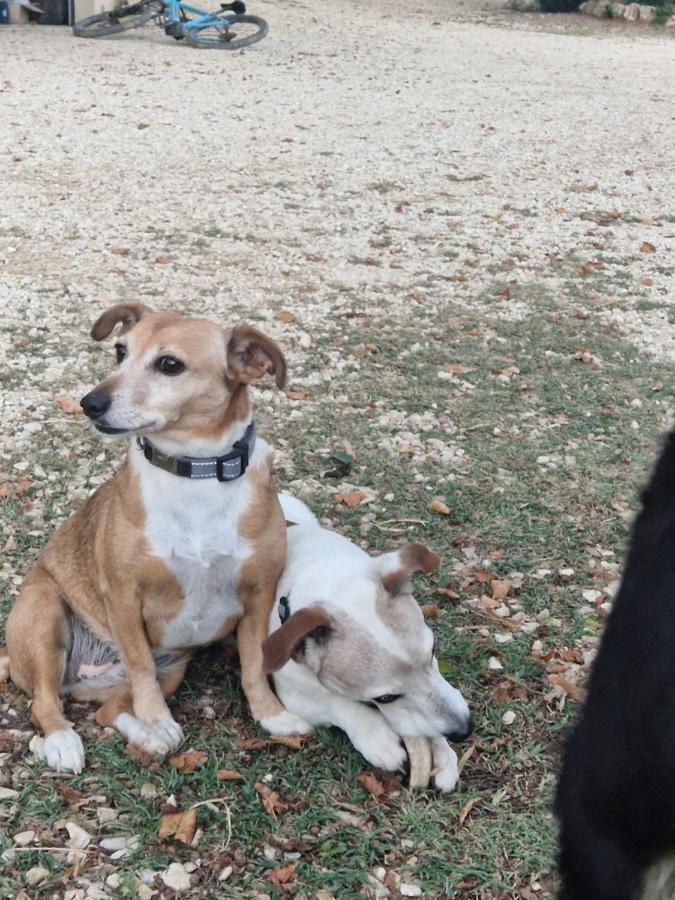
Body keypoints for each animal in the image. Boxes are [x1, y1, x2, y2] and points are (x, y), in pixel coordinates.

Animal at [0, 306, 308, 768]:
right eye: (119, 351)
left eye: (169, 364)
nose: (90, 404)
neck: (195, 473)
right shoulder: (124, 597)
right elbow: (140, 665)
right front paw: (156, 717)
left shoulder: (259, 595)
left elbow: (254, 665)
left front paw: (272, 715)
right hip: (46, 616)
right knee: (45, 701)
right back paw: (67, 740)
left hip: (174, 669)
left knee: (109, 710)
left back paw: (150, 736)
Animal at [262, 492, 472, 796]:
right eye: (385, 698)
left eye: (432, 651)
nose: (466, 729)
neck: (325, 574)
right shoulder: (296, 696)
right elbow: (339, 703)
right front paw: (378, 737)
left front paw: (443, 752)